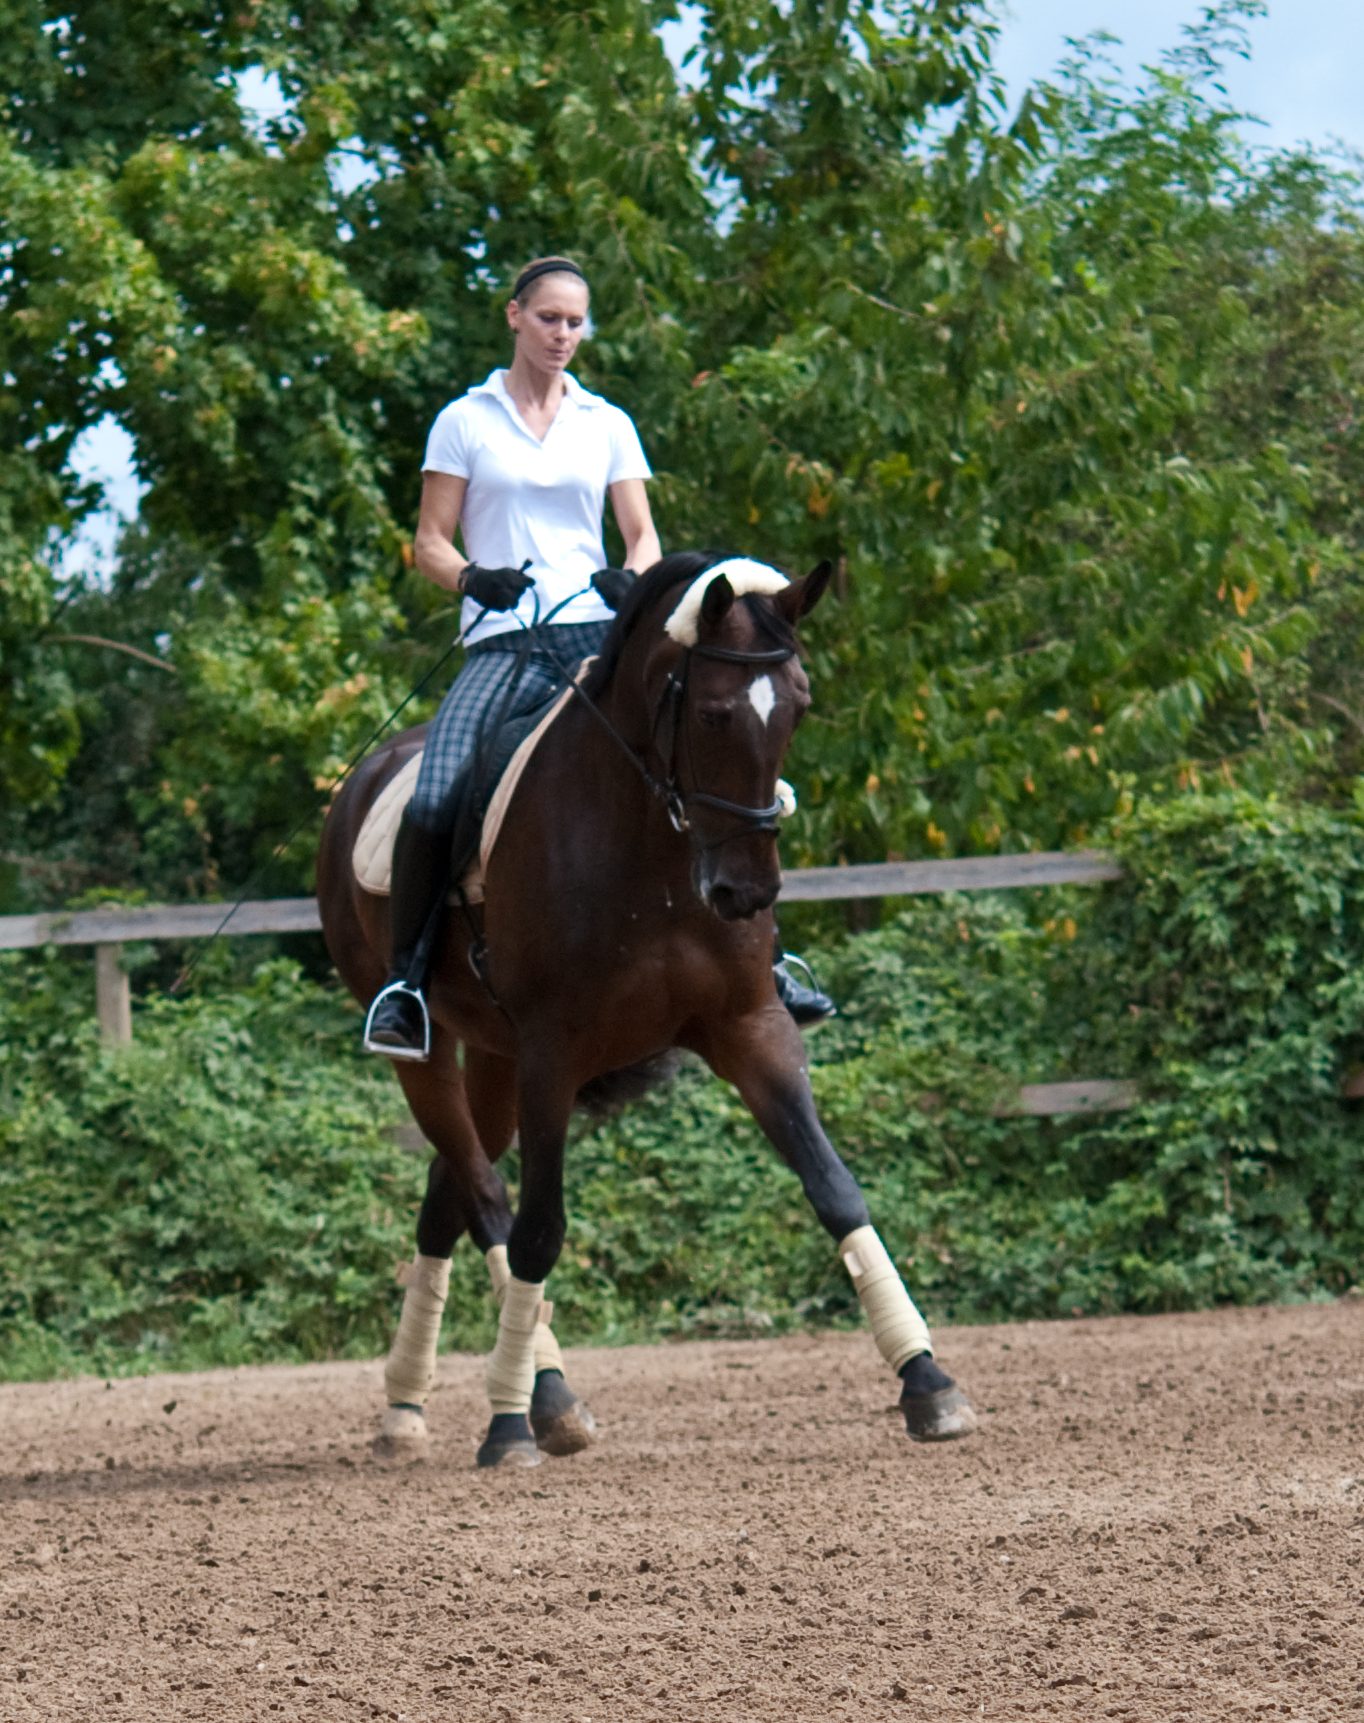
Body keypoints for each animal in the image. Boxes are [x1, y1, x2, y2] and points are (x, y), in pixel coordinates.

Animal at [316, 551, 978, 1467]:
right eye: (711, 712)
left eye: (799, 706)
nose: (747, 892)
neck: (654, 848)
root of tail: (366, 779)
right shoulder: (552, 1051)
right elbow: (539, 1227)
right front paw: (508, 1423)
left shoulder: (750, 1027)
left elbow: (836, 1188)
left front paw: (928, 1381)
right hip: (437, 1049)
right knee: (486, 1201)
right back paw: (524, 1401)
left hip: (493, 1053)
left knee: (446, 1198)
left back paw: (421, 1405)